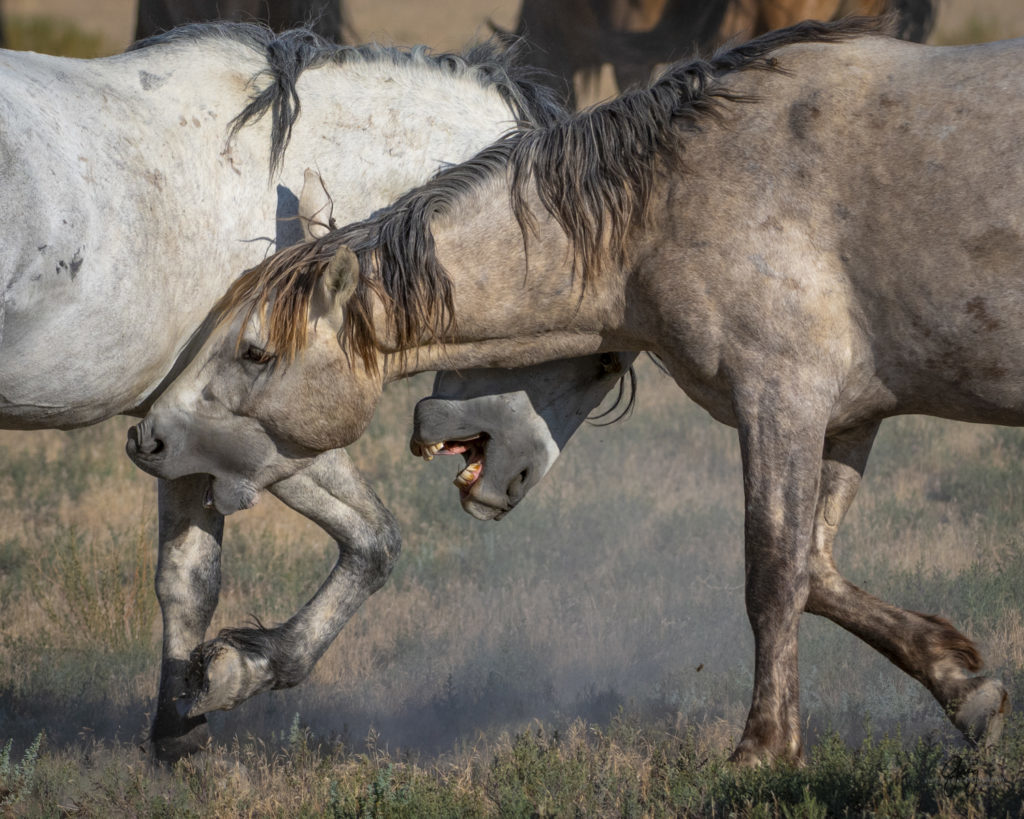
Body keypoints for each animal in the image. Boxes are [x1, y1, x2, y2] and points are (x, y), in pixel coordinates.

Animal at [0, 24, 569, 761]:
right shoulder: (261, 439)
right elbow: (373, 543)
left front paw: (180, 725)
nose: (510, 476)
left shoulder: (175, 437)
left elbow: (188, 580)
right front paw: (234, 677)